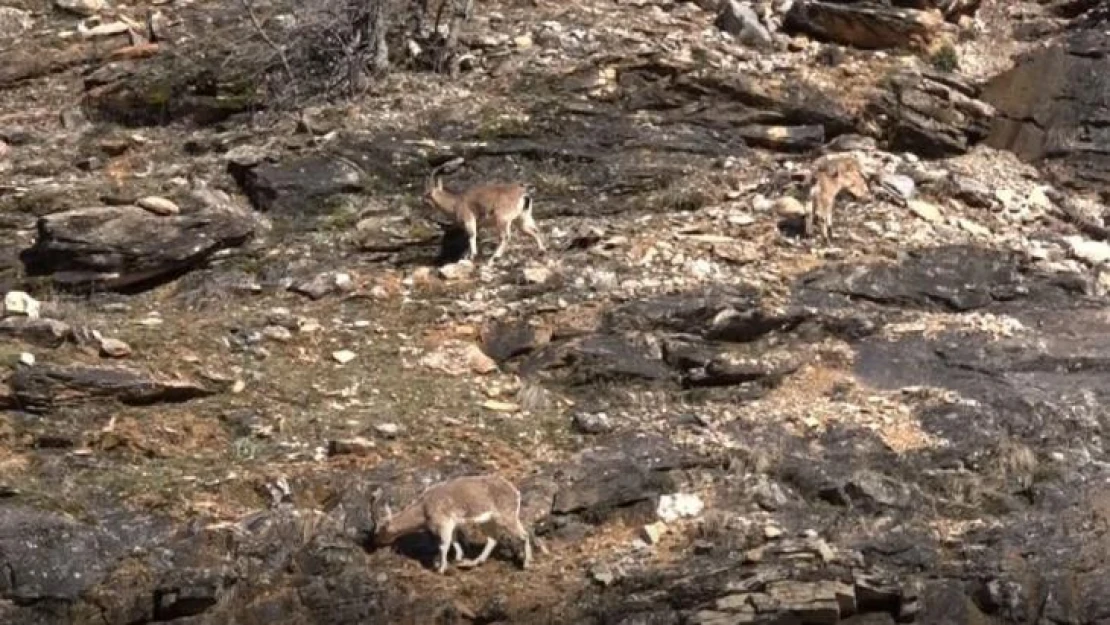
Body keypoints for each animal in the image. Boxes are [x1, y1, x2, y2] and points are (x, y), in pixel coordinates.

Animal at [372, 477, 532, 572]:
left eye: (379, 531)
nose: (375, 543)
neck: (423, 509)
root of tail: (516, 493)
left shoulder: (443, 523)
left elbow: (444, 545)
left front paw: (440, 568)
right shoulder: (452, 524)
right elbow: (453, 541)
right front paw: (457, 558)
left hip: (506, 516)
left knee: (523, 535)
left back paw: (526, 563)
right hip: (488, 521)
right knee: (492, 540)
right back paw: (470, 562)